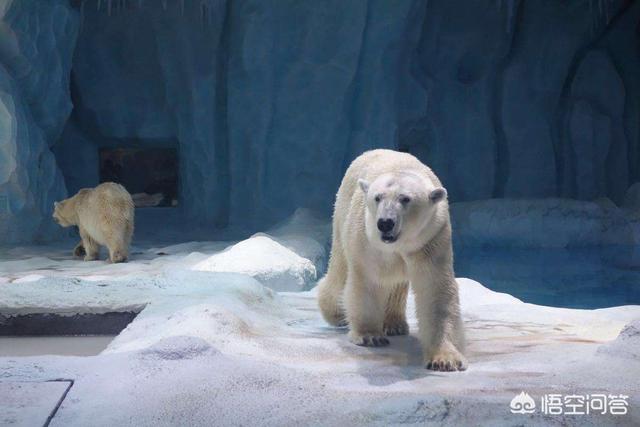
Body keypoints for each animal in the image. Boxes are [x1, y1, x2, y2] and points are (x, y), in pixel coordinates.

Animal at [318, 150, 464, 372]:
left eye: (405, 199)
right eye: (377, 198)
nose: (385, 223)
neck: (399, 245)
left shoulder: (430, 240)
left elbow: (435, 291)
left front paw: (444, 359)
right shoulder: (367, 239)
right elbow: (369, 281)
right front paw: (370, 336)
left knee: (397, 284)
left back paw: (394, 324)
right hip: (342, 212)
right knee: (340, 269)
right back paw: (336, 312)